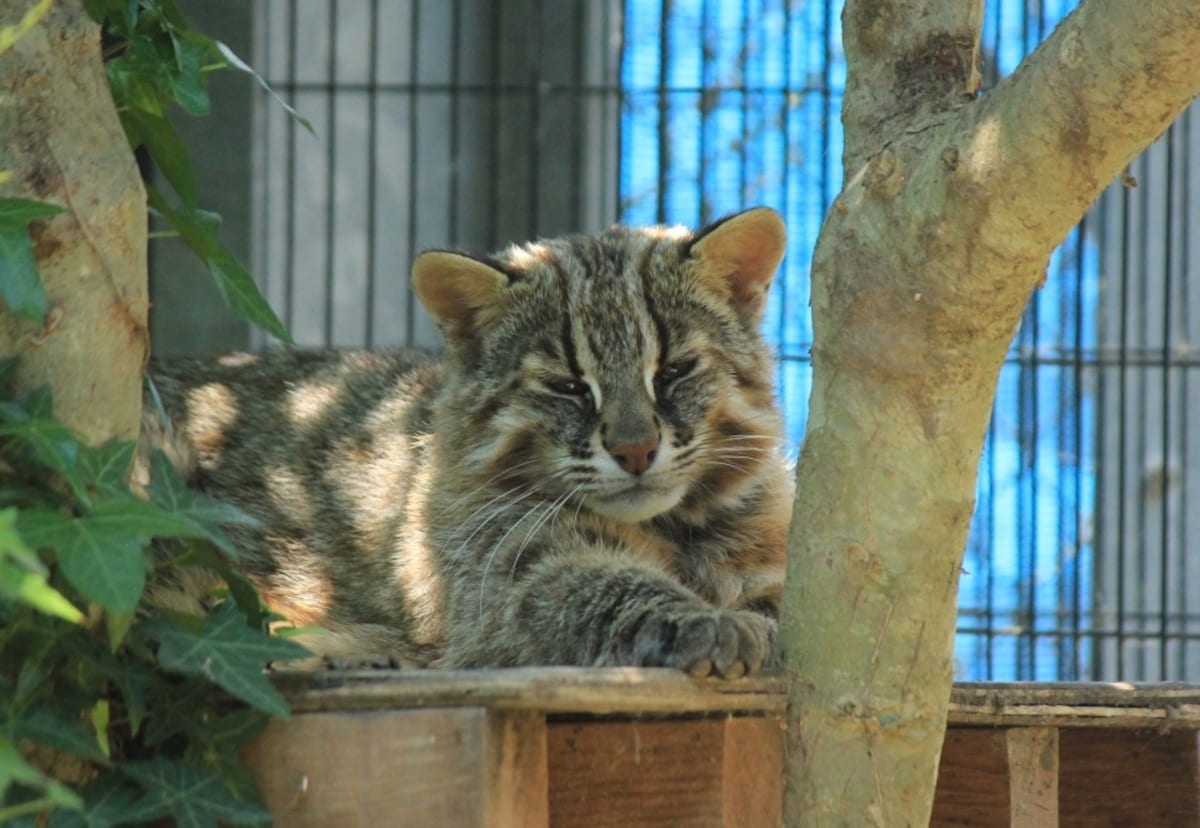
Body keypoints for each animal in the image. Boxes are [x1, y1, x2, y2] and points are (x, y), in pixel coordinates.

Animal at [145, 206, 792, 676]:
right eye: (567, 386)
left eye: (675, 371)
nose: (635, 451)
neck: (675, 528)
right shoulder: (507, 572)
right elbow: (603, 586)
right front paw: (702, 622)